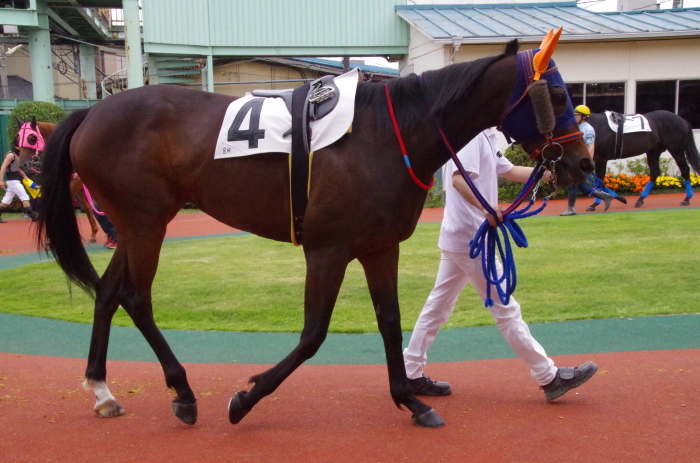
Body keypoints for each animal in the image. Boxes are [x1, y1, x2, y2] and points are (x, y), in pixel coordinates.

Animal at [31, 38, 592, 430]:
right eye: (557, 93)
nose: (584, 162)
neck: (388, 135)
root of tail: (90, 112)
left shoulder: (379, 247)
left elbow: (391, 322)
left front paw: (410, 398)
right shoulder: (328, 250)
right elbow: (313, 334)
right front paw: (245, 399)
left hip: (135, 224)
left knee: (108, 292)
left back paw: (102, 390)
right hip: (146, 222)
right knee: (135, 297)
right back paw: (184, 394)